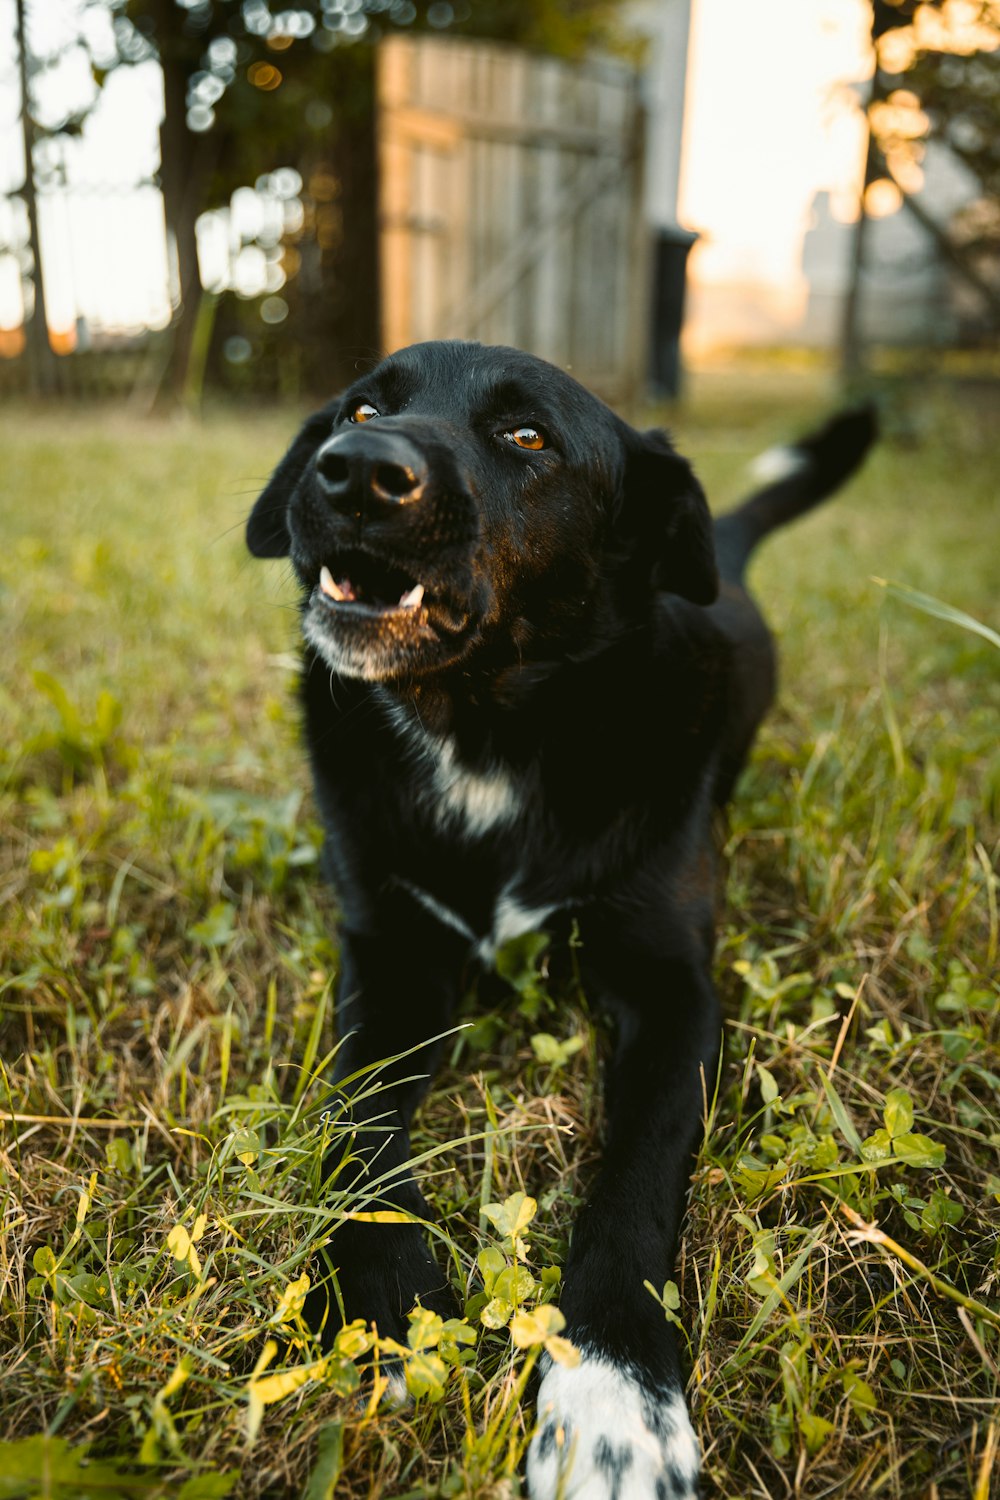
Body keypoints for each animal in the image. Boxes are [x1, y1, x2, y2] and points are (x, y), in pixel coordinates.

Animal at [248, 343, 875, 1500]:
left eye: (526, 436)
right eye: (360, 408)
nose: (351, 469)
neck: (486, 731)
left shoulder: (672, 994)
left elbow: (631, 1183)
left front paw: (615, 1407)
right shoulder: (389, 958)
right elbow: (357, 1123)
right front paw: (391, 1310)